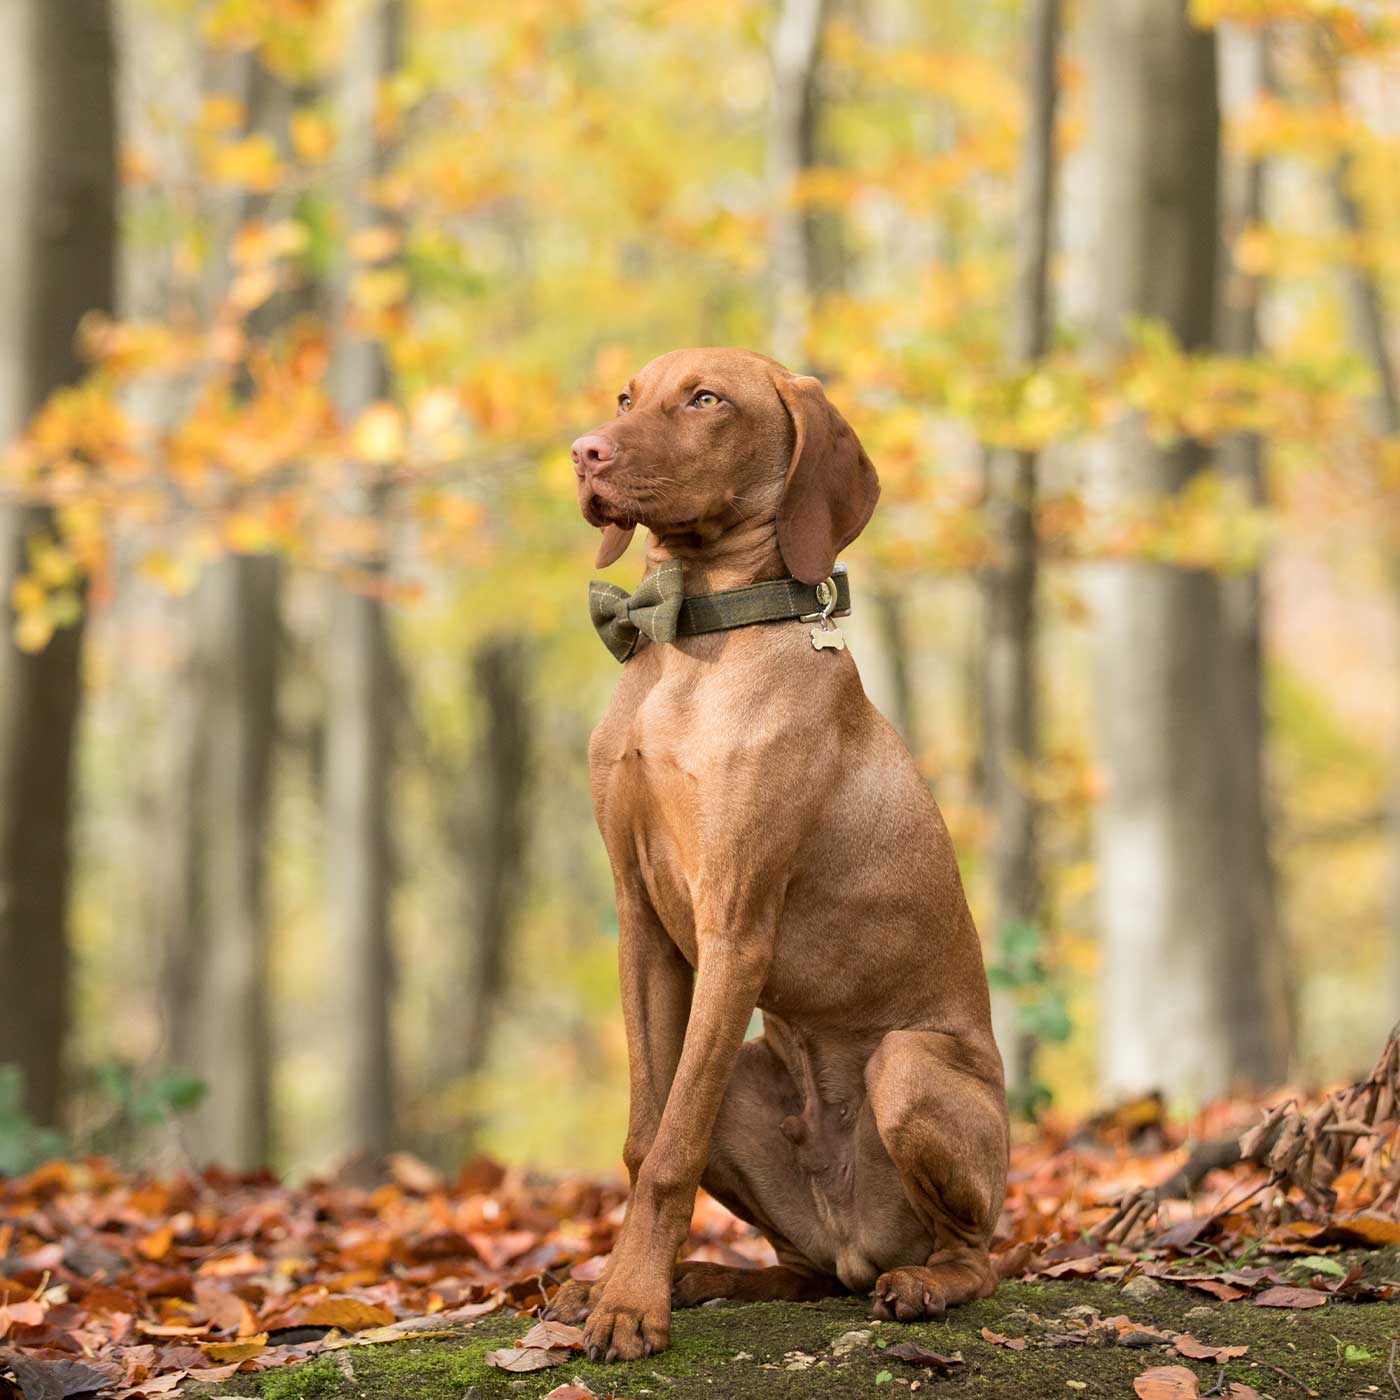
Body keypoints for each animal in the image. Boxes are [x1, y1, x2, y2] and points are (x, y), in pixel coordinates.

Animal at [546, 344, 1008, 1360]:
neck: (691, 645)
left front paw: (630, 1305)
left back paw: (923, 1285)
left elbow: (668, 1151)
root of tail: (857, 1240)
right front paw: (623, 1283)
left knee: (976, 1255)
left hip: (908, 1070)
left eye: (706, 400)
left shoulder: (736, 926)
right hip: (751, 1085)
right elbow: (645, 1135)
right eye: (625, 397)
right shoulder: (642, 922)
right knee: (806, 1270)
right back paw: (710, 1276)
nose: (585, 451)